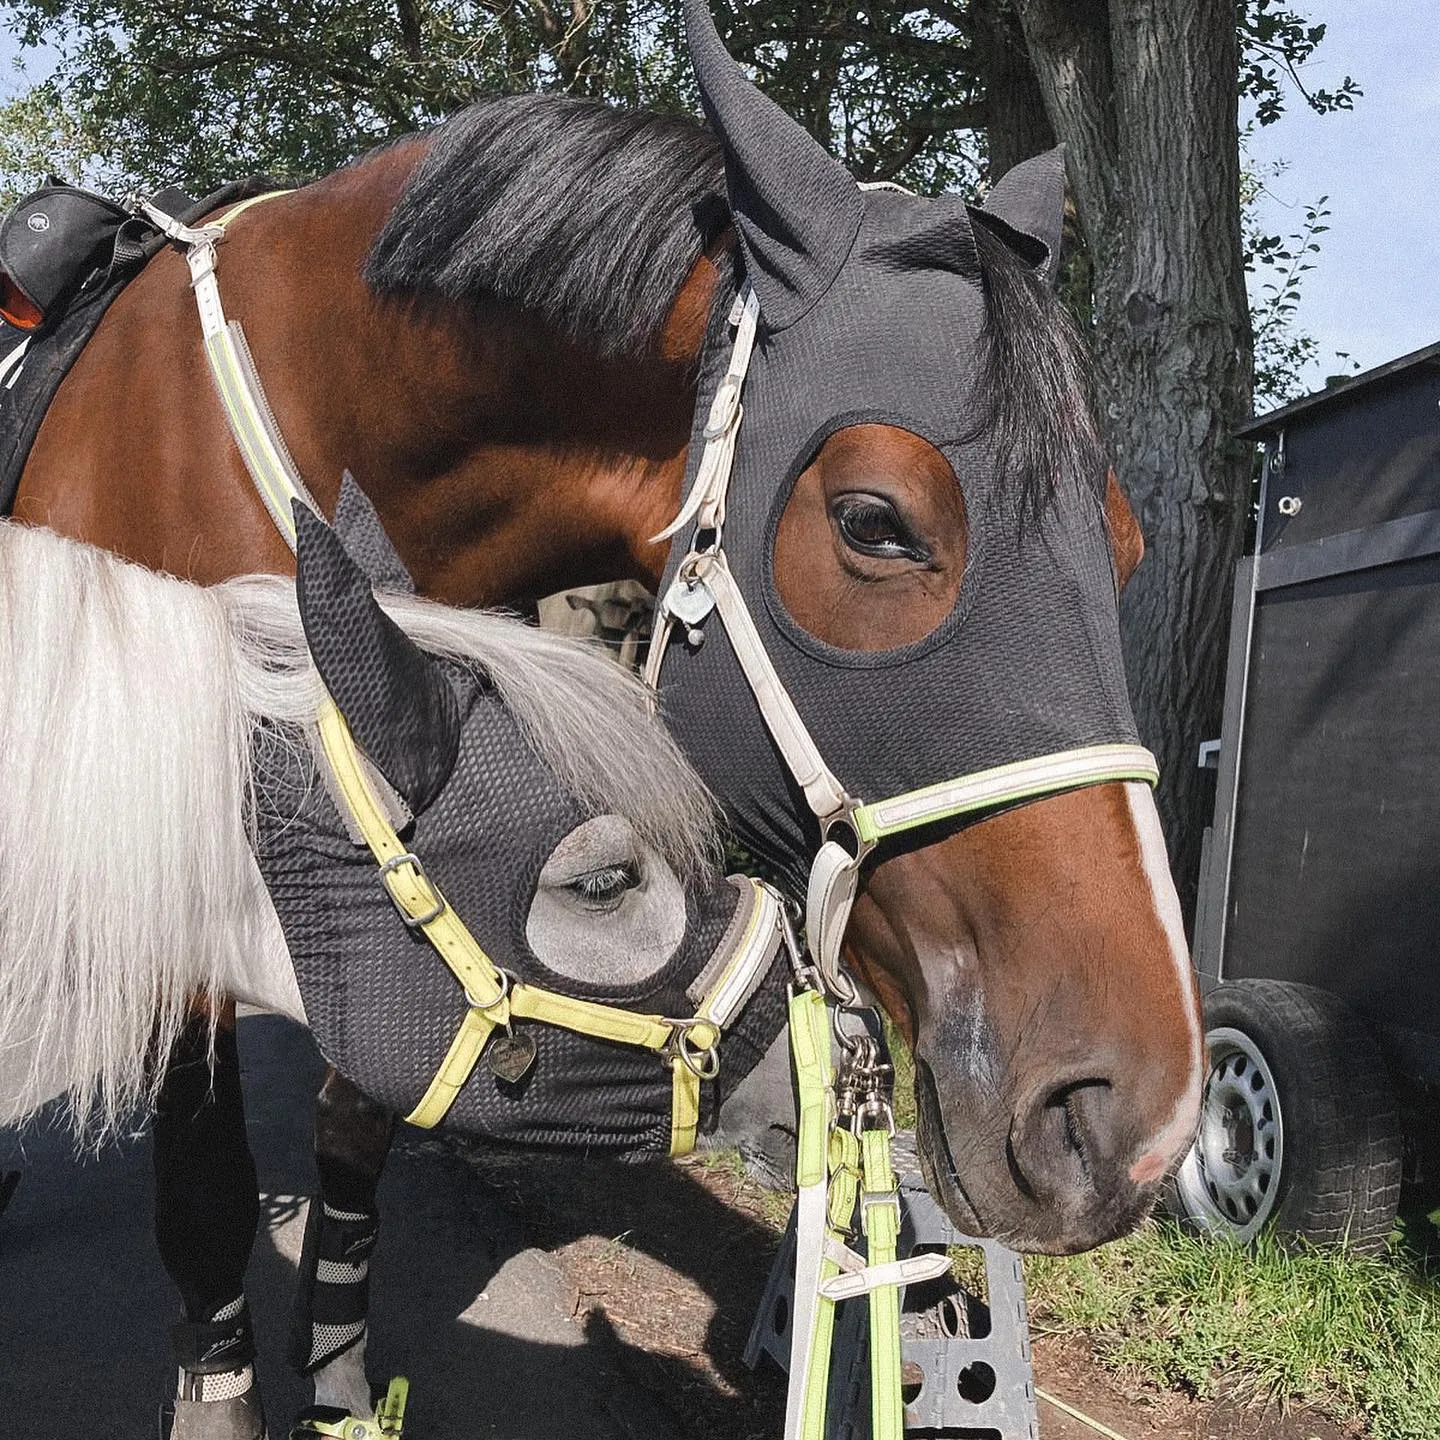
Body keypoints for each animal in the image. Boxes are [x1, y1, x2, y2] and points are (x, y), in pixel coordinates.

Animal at [8, 5, 1203, 1434]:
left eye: (1128, 547)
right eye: (873, 520)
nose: (1137, 1112)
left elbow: (363, 1115)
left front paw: (341, 1375)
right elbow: (204, 1191)